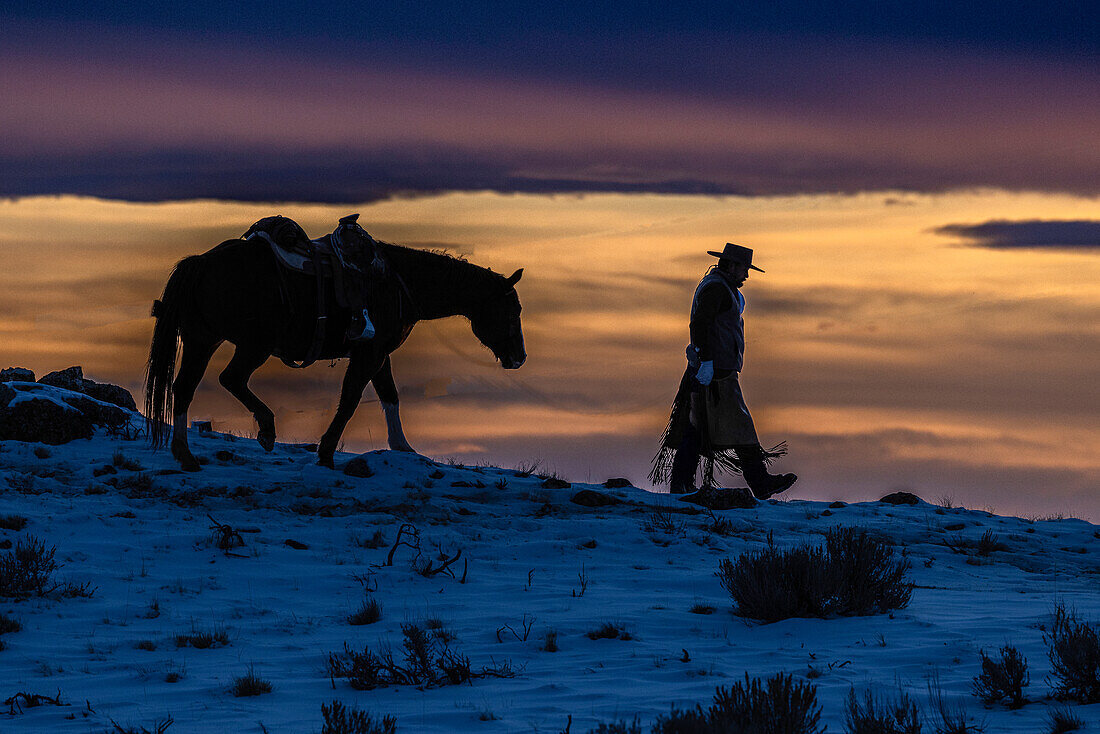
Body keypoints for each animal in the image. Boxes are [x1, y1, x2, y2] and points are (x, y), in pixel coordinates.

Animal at [144, 221, 525, 470]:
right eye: (512, 309)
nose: (519, 358)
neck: (397, 282)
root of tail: (202, 262)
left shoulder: (378, 353)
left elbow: (390, 396)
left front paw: (403, 447)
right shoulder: (369, 353)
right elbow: (351, 399)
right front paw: (326, 452)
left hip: (202, 340)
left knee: (185, 387)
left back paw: (185, 454)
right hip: (253, 345)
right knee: (230, 379)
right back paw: (265, 431)